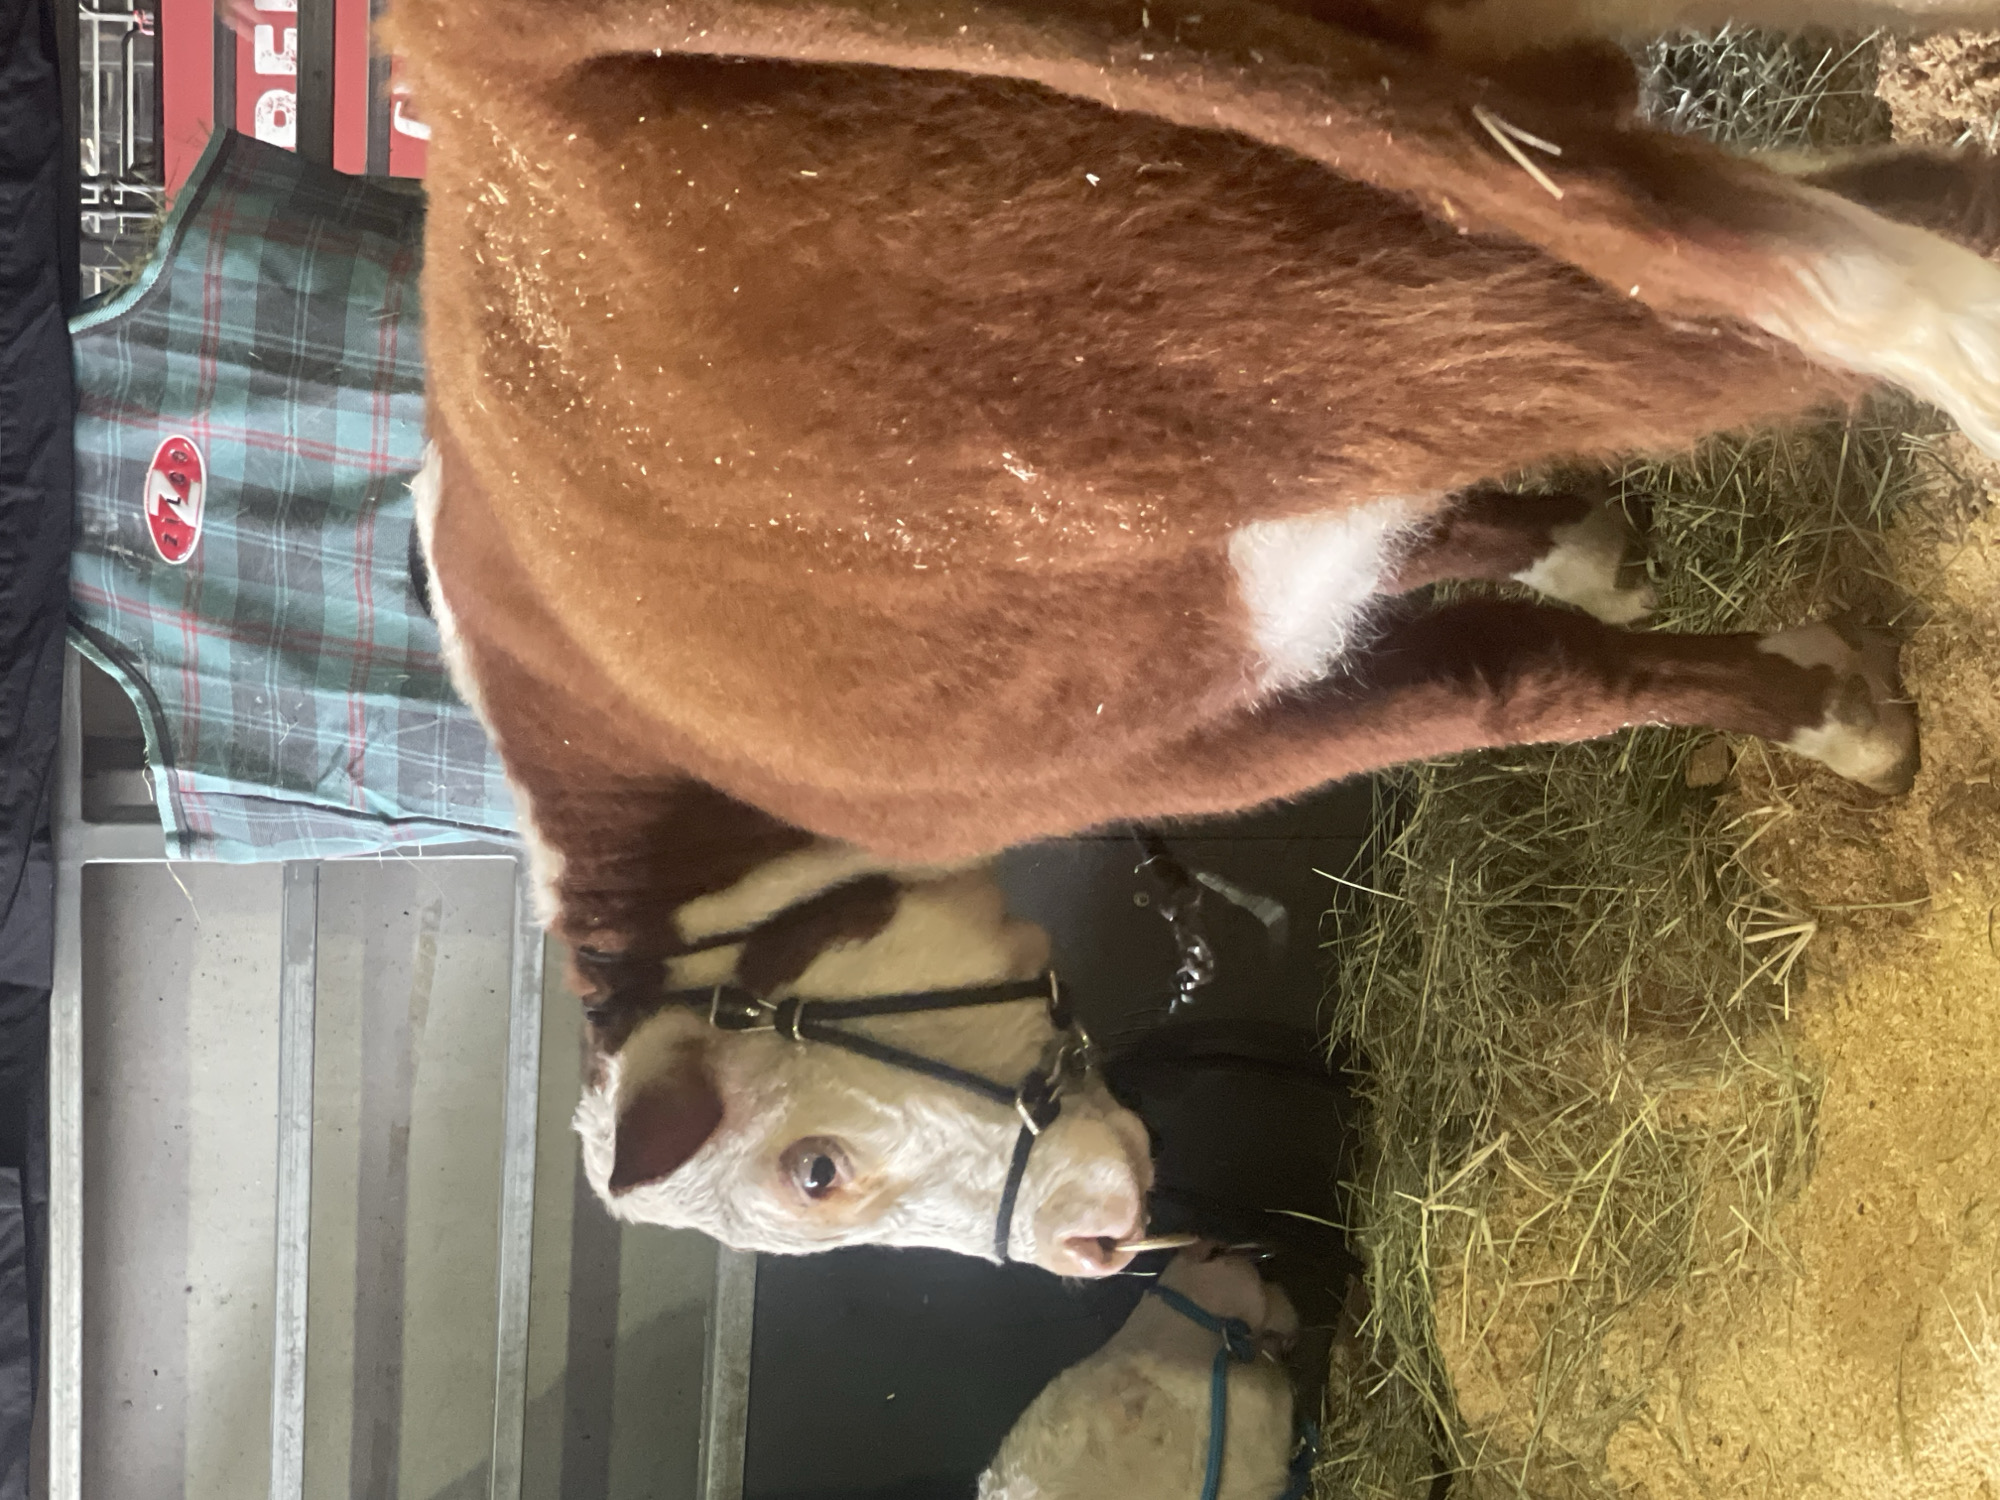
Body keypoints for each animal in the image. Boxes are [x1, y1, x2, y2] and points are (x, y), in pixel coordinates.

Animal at [383, 0, 1999, 1269]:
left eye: (815, 1172)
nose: (1096, 1245)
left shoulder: (1196, 727)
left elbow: (1518, 678)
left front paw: (1830, 708)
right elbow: (1471, 557)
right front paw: (1599, 557)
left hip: (1324, 320)